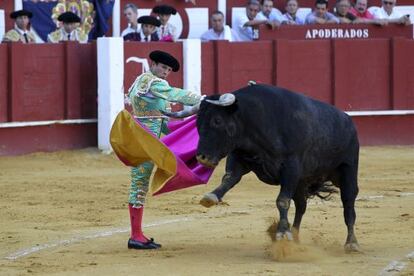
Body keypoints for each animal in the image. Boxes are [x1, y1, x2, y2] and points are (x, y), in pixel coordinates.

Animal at [165, 84, 360, 252]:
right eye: (197, 122)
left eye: (217, 120)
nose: (201, 158)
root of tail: (348, 122)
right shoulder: (239, 157)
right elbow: (229, 178)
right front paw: (211, 196)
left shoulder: (291, 167)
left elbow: (282, 200)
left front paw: (282, 233)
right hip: (301, 181)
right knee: (301, 206)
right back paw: (295, 236)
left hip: (347, 172)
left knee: (348, 205)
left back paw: (351, 243)